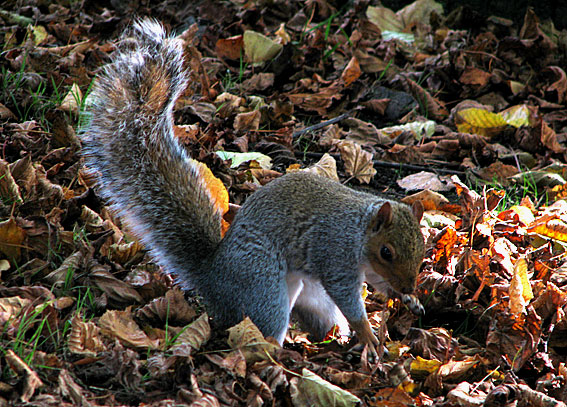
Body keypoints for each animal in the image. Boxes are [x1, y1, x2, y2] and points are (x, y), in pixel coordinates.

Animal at [81, 20, 426, 356]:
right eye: (386, 251)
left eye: (422, 249)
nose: (410, 287)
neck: (360, 232)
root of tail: (213, 277)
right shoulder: (336, 256)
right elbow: (349, 300)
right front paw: (368, 334)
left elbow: (379, 284)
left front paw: (408, 300)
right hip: (263, 286)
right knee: (263, 329)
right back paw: (280, 353)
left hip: (311, 296)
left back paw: (332, 339)